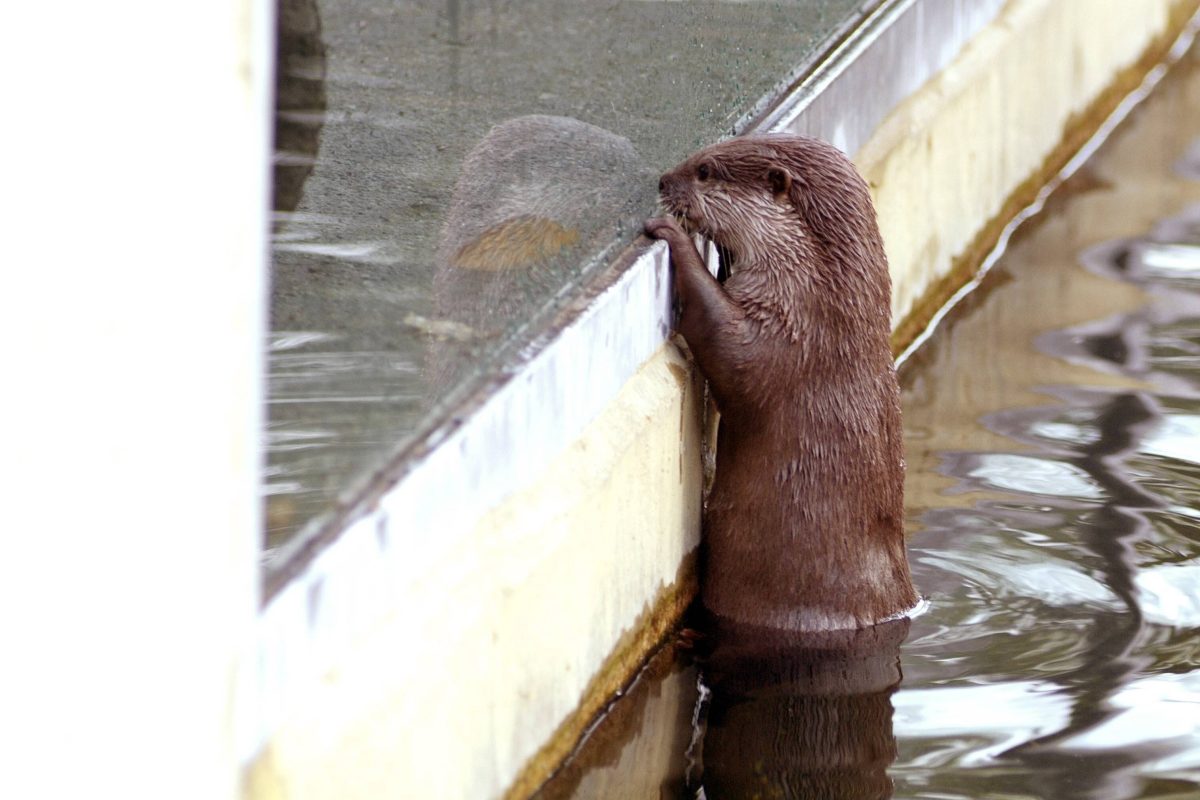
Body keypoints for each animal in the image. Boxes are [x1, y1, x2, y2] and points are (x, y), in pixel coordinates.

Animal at [648, 134, 916, 633]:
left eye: (704, 171)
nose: (663, 180)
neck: (820, 297)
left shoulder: (788, 334)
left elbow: (725, 342)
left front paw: (677, 238)